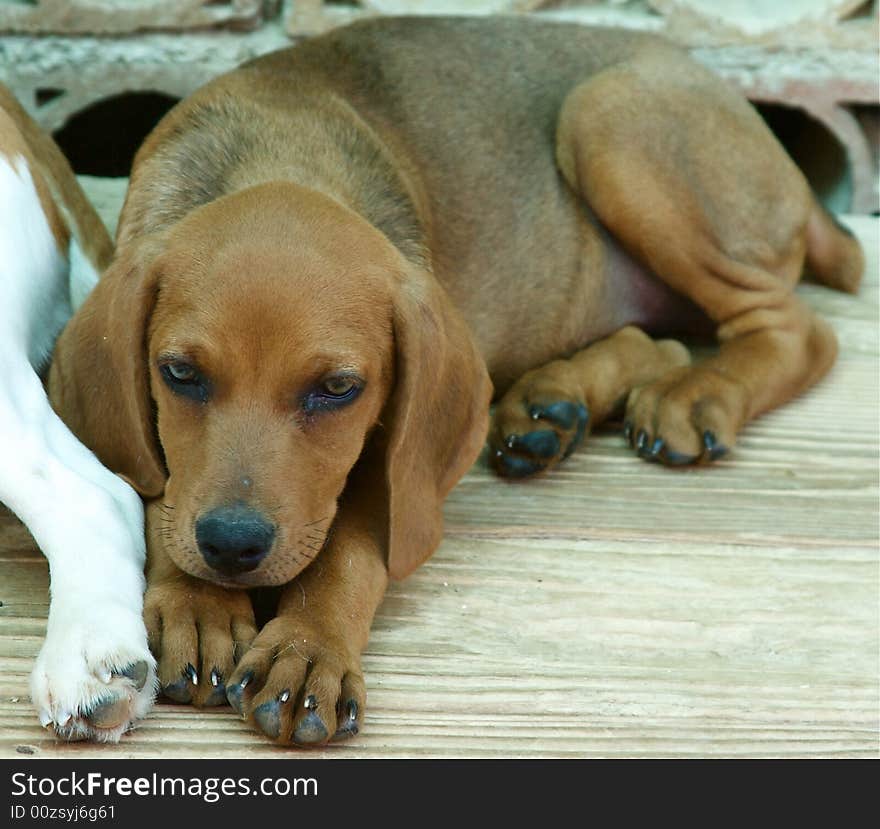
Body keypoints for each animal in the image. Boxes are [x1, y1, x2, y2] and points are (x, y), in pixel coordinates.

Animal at [46, 17, 860, 744]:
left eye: (338, 389)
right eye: (179, 373)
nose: (231, 549)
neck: (276, 154)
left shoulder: (397, 460)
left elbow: (351, 545)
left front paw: (307, 648)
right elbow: (162, 484)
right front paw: (201, 601)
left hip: (610, 119)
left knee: (798, 328)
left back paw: (695, 394)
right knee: (655, 337)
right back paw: (551, 407)